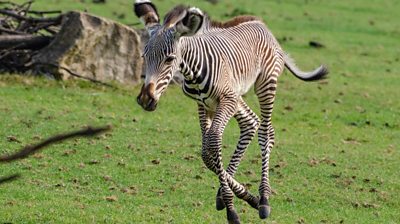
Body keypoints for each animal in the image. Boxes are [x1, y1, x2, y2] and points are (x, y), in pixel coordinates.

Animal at [134, 0, 328, 223]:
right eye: (144, 56)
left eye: (169, 59)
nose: (145, 99)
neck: (193, 70)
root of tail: (261, 24)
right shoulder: (203, 104)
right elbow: (206, 153)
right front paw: (241, 196)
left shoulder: (226, 100)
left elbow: (213, 141)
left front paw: (232, 208)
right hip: (236, 96)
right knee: (250, 122)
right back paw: (245, 196)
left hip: (264, 85)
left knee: (266, 132)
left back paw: (264, 199)